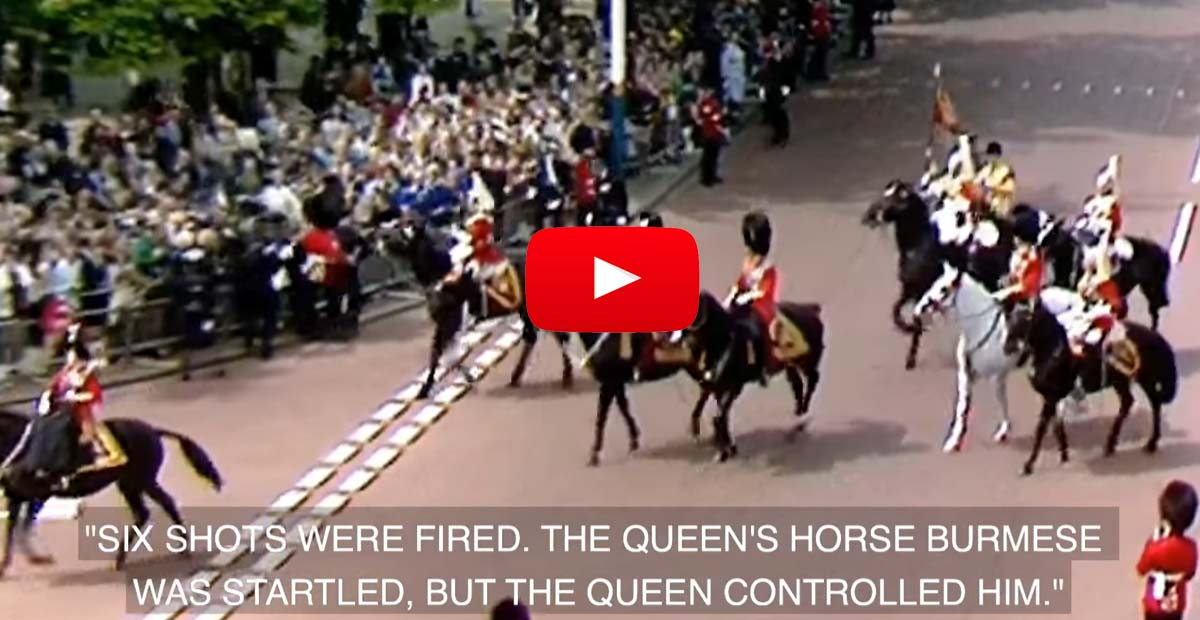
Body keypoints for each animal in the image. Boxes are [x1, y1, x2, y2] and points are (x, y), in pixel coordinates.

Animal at [0, 405, 223, 575]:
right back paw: (125, 557)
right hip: (130, 482)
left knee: (160, 505)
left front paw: (29, 559)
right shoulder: (20, 494)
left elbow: (20, 525)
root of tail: (152, 430)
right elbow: (15, 525)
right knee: (146, 511)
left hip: (140, 479)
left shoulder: (36, 492)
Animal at [381, 219, 573, 398]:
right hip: (524, 310)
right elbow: (438, 354)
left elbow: (444, 354)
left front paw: (462, 379)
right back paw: (516, 377)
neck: (442, 274)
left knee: (559, 336)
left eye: (404, 230)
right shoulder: (443, 322)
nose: (381, 236)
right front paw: (427, 388)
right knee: (533, 337)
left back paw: (566, 375)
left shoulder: (451, 321)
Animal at [681, 290, 830, 458]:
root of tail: (812, 310)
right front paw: (725, 445)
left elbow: (719, 416)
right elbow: (710, 412)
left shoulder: (734, 387)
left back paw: (802, 417)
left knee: (812, 380)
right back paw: (796, 419)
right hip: (789, 366)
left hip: (807, 361)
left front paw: (725, 449)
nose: (683, 340)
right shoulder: (715, 387)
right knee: (797, 386)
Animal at [912, 261, 1017, 448]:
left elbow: (1001, 401)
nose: (918, 310)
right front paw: (953, 440)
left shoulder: (995, 376)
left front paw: (1003, 431)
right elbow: (962, 407)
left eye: (944, 289)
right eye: (935, 283)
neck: (980, 326)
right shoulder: (968, 375)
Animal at [998, 295, 1176, 474]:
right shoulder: (1054, 398)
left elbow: (1041, 429)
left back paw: (1149, 443)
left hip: (1143, 378)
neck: (1054, 354)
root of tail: (1153, 335)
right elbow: (1056, 426)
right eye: (1010, 320)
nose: (1006, 348)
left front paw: (1028, 465)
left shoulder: (1051, 397)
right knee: (1130, 402)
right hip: (1122, 380)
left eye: (1025, 321)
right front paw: (1064, 454)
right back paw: (1113, 445)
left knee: (1154, 403)